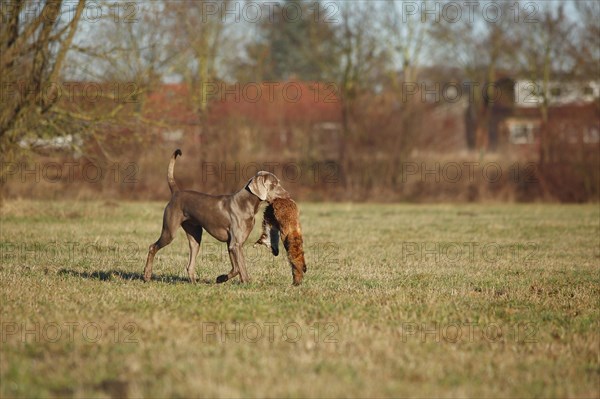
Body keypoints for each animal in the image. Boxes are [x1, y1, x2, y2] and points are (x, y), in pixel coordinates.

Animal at [143, 150, 288, 284]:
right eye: (274, 184)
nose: (287, 195)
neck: (247, 203)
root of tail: (176, 192)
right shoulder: (236, 244)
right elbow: (242, 268)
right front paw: (247, 284)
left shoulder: (231, 244)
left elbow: (236, 268)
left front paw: (221, 278)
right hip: (170, 231)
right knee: (152, 247)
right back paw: (147, 275)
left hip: (195, 235)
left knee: (190, 264)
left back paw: (194, 283)